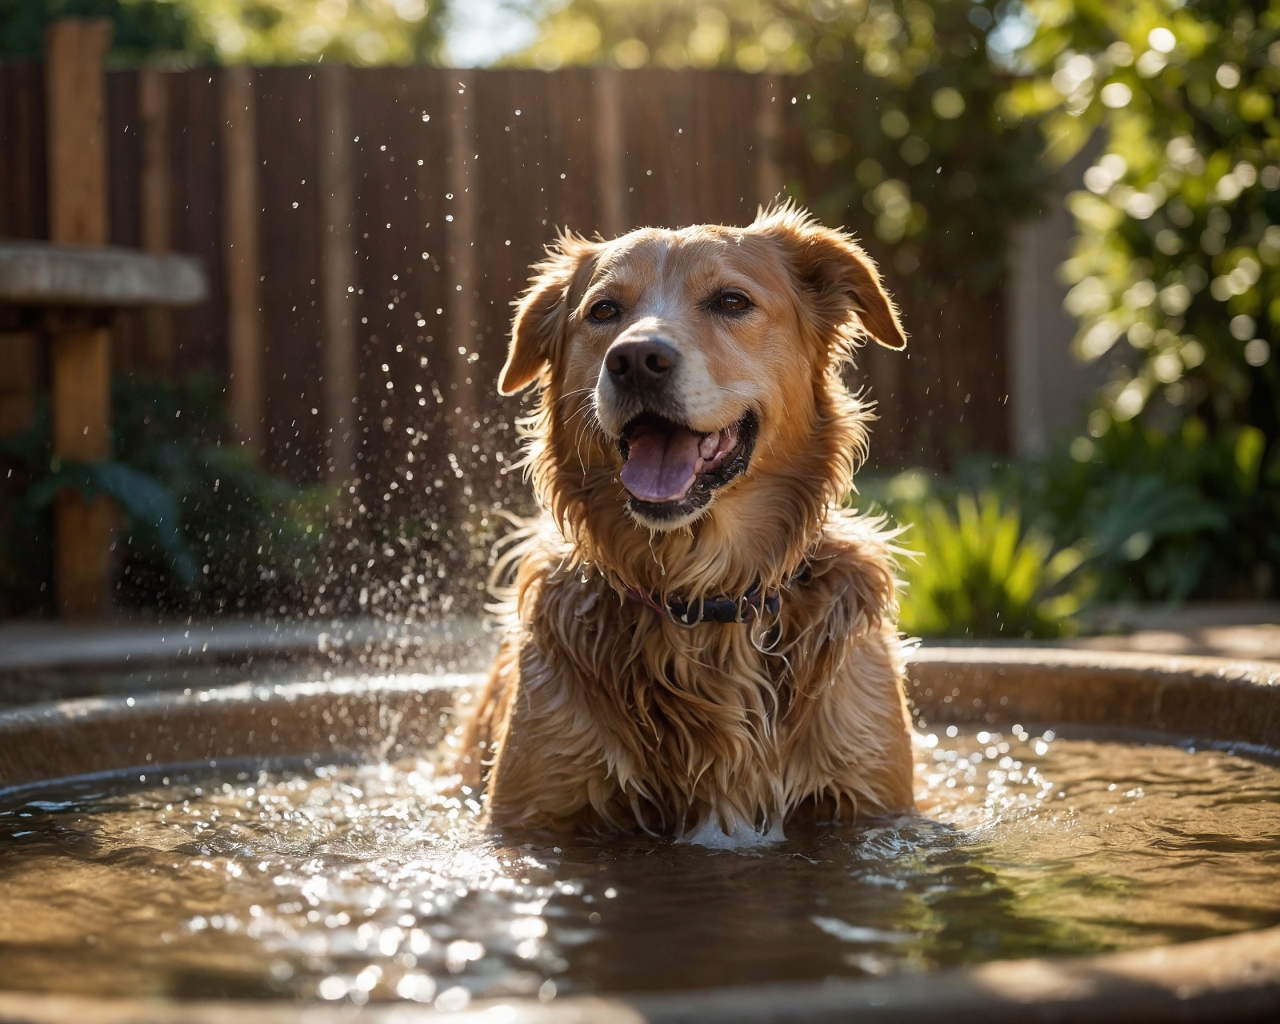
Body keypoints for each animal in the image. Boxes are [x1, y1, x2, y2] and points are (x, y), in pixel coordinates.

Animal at [460, 203, 921, 844]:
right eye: (604, 311)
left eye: (731, 301)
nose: (634, 360)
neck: (699, 597)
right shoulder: (533, 815)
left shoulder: (873, 803)